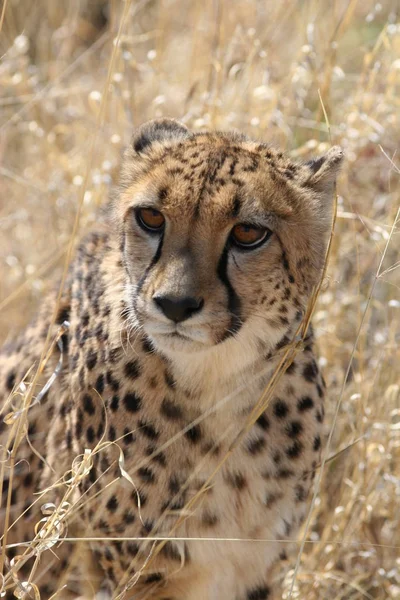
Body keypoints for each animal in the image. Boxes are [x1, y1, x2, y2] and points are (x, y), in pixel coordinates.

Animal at [0, 118, 344, 600]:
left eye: (248, 233)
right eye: (151, 218)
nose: (175, 304)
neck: (217, 381)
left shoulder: (258, 568)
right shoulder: (134, 571)